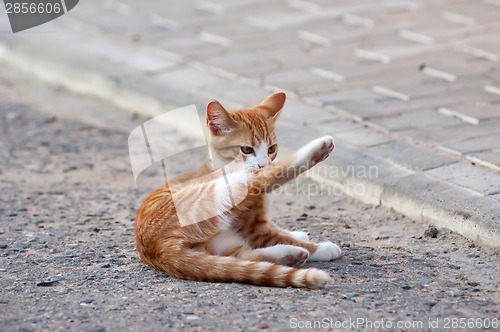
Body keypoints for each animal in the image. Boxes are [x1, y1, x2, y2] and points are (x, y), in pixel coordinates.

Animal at [135, 92, 342, 286]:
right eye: (247, 150)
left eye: (271, 149)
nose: (263, 164)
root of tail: (155, 247)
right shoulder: (254, 228)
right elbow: (274, 234)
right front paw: (320, 248)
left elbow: (278, 234)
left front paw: (296, 234)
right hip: (227, 191)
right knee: (270, 176)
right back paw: (316, 150)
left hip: (221, 242)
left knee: (241, 259)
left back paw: (291, 255)